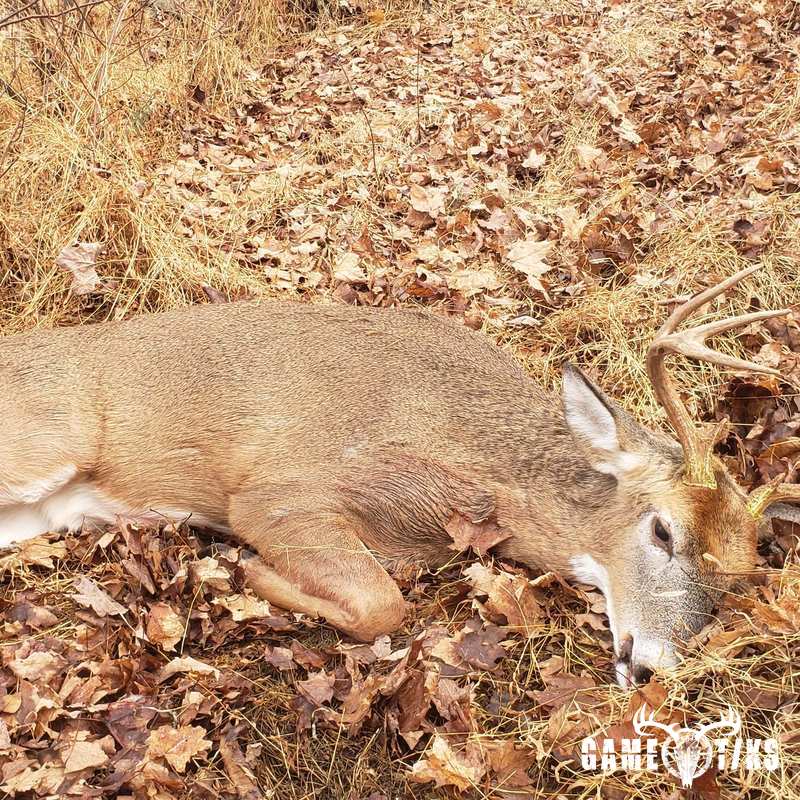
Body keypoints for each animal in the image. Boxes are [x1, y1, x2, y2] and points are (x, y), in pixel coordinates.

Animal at [0, 265, 797, 684]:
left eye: (740, 579)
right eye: (662, 530)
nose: (657, 667)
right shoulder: (282, 492)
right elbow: (384, 605)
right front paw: (250, 575)